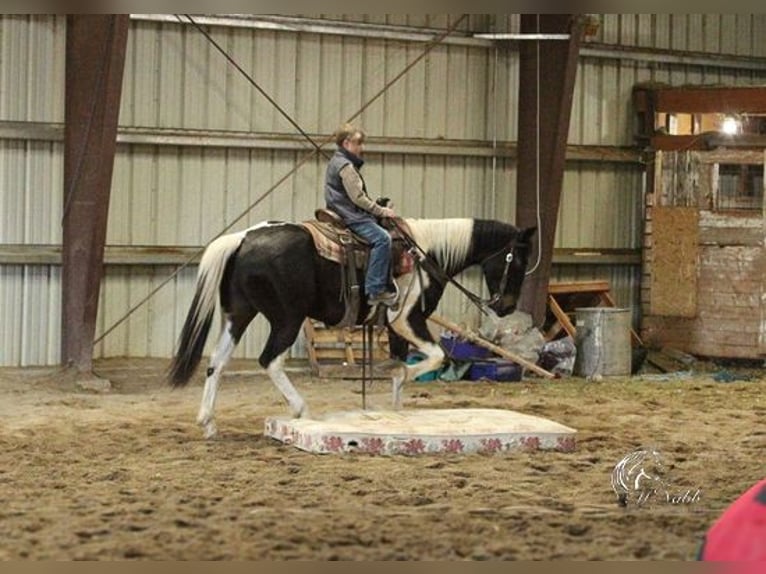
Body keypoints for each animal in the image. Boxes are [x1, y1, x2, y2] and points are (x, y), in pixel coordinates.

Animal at [170, 218, 536, 438]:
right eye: (517, 261)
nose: (506, 307)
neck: (426, 254)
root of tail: (244, 237)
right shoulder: (409, 320)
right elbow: (434, 357)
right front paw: (400, 380)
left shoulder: (396, 330)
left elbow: (403, 363)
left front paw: (396, 409)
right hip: (287, 319)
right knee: (270, 360)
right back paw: (301, 409)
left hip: (239, 315)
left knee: (217, 363)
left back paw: (208, 422)